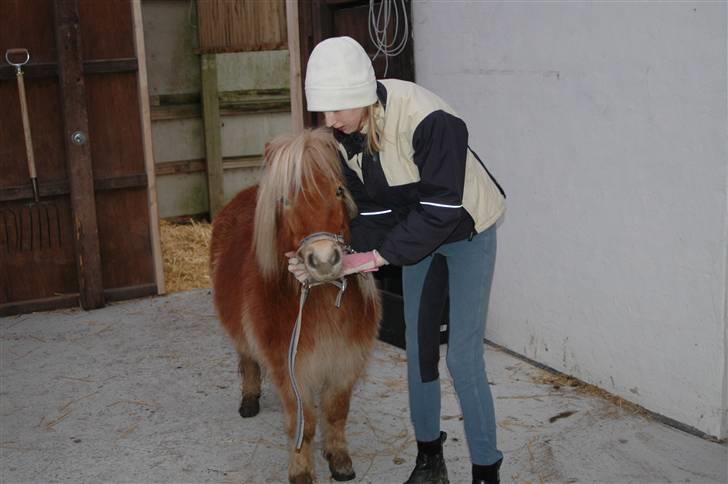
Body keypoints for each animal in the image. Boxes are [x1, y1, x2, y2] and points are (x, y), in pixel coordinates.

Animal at [209, 129, 382, 484]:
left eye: (338, 190)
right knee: (247, 359)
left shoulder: (344, 365)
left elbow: (336, 413)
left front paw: (339, 460)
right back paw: (249, 400)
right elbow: (304, 425)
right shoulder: (291, 371)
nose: (324, 260)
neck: (322, 301)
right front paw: (301, 471)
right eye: (285, 200)